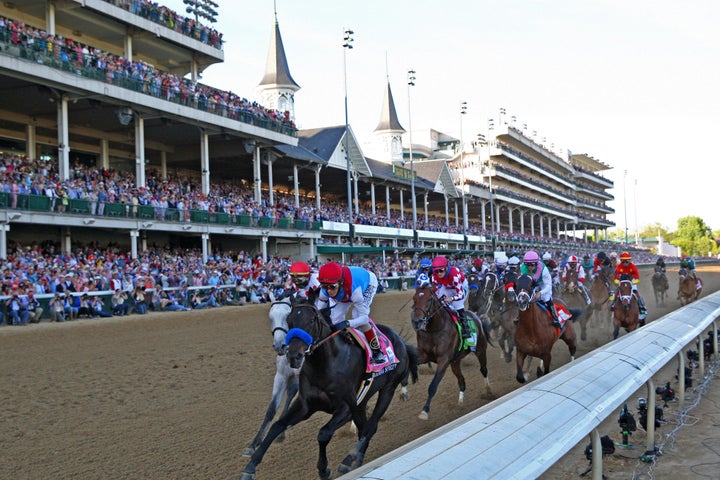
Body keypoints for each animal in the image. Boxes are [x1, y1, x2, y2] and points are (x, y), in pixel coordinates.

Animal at [240, 298, 420, 478]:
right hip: (361, 403)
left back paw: (349, 458)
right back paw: (356, 462)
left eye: (311, 320)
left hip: (387, 390)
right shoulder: (305, 403)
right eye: (289, 320)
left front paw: (324, 469)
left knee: (371, 427)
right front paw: (250, 465)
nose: (293, 356)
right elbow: (277, 424)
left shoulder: (346, 407)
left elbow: (323, 433)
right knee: (364, 428)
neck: (326, 364)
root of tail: (400, 341)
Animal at [414, 284, 492, 420]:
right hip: (455, 361)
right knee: (461, 380)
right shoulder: (424, 355)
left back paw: (488, 391)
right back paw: (460, 402)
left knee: (483, 370)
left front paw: (425, 411)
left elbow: (433, 386)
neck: (435, 329)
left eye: (429, 299)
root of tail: (477, 317)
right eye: (414, 298)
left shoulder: (444, 360)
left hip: (480, 350)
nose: (417, 322)